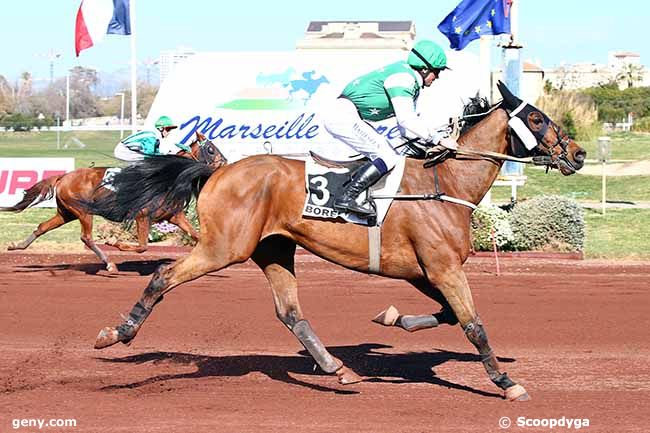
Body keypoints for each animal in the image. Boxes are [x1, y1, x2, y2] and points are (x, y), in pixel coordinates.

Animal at [1, 132, 225, 272]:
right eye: (211, 149)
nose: (225, 164)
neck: (167, 177)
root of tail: (63, 176)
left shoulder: (174, 216)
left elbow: (197, 236)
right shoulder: (142, 215)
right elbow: (142, 246)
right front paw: (113, 242)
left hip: (66, 213)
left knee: (42, 226)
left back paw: (16, 245)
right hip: (83, 211)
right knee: (86, 237)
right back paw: (109, 264)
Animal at [85, 82, 584, 400]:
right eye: (536, 117)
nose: (577, 153)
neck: (446, 184)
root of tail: (216, 170)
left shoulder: (425, 271)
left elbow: (445, 314)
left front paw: (393, 318)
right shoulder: (443, 268)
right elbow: (473, 324)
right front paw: (506, 383)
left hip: (273, 249)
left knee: (289, 312)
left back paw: (336, 369)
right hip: (224, 248)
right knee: (164, 276)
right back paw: (116, 333)